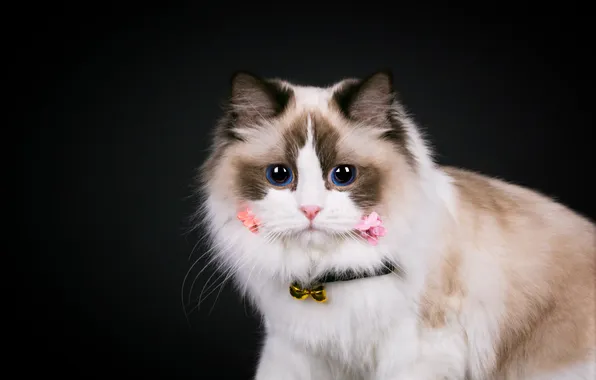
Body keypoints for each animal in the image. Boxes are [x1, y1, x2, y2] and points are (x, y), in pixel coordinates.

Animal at [197, 70, 596, 378]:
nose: (310, 210)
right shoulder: (295, 351)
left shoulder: (419, 351)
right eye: (279, 175)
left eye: (343, 175)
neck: (325, 276)